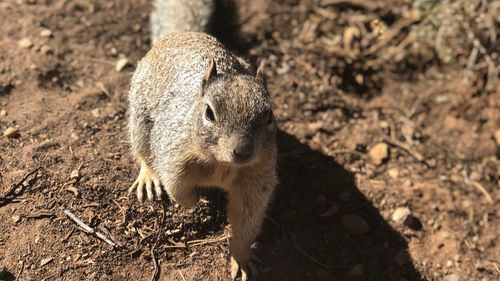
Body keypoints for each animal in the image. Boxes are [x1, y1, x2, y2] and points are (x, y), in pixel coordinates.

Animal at [127, 1, 278, 278]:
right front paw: (198, 200)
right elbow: (180, 192)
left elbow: (246, 225)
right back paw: (148, 178)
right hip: (139, 117)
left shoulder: (257, 180)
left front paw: (241, 259)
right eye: (209, 113)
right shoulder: (173, 158)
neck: (221, 164)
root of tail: (182, 34)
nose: (243, 151)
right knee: (142, 151)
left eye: (270, 115)